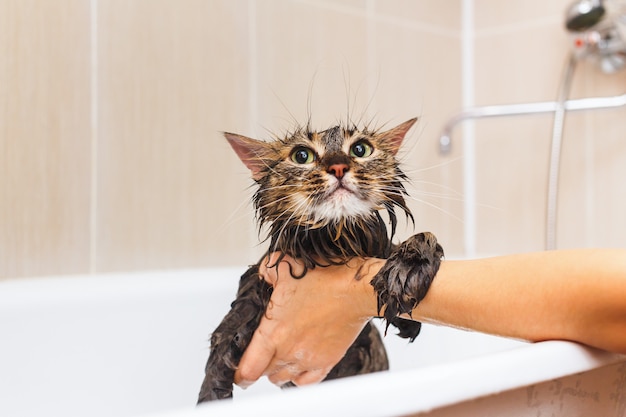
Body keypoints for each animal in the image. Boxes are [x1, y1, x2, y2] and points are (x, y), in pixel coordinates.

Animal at [197, 116, 442, 400]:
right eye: (302, 155)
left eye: (360, 150)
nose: (338, 166)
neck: (333, 245)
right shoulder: (259, 276)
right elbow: (230, 326)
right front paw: (214, 392)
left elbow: (424, 237)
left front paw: (407, 269)